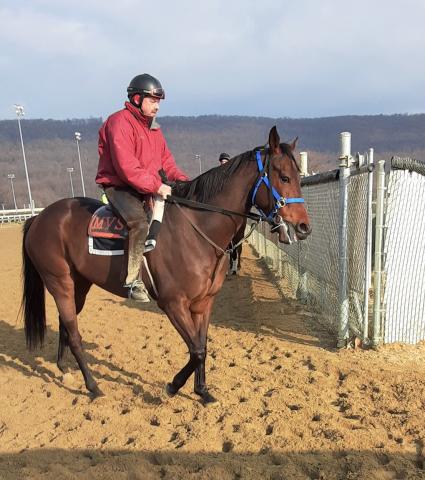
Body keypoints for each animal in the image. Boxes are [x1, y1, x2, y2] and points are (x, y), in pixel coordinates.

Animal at [20, 125, 312, 404]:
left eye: (298, 177)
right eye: (284, 177)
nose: (304, 227)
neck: (195, 229)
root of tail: (39, 218)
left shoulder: (204, 303)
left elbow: (202, 346)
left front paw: (202, 392)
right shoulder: (173, 304)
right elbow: (196, 351)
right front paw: (172, 387)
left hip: (79, 284)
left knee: (65, 323)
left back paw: (64, 369)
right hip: (59, 282)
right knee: (74, 333)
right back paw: (93, 387)